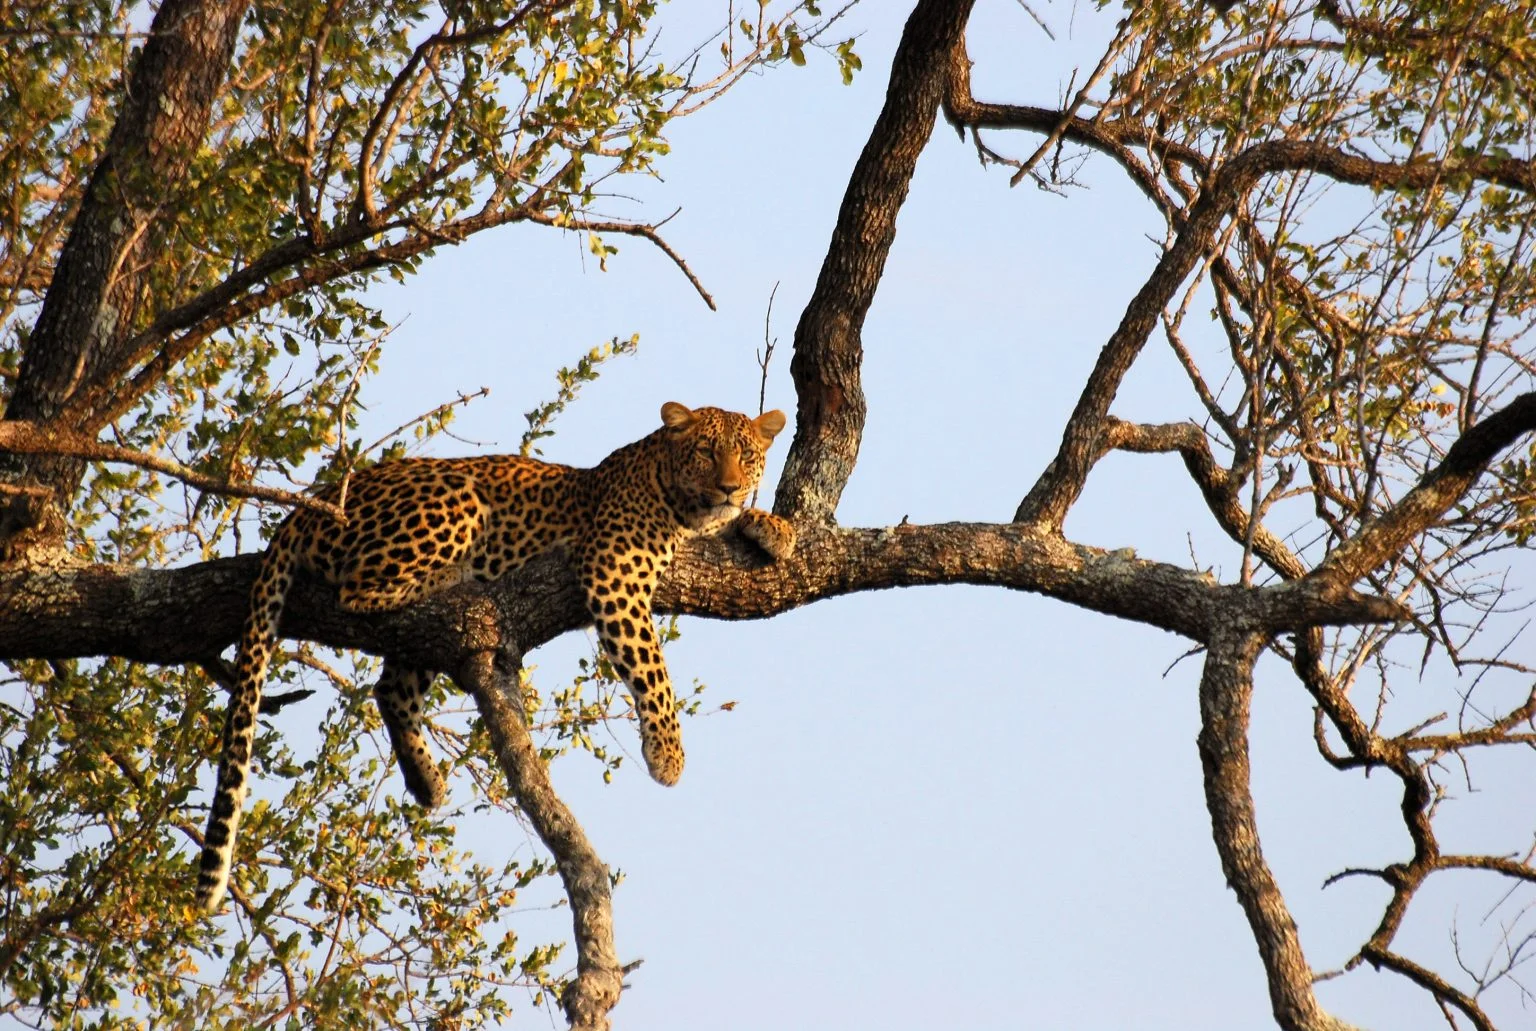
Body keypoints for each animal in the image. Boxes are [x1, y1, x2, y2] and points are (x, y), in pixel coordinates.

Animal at [196, 402, 795, 913]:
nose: (730, 486)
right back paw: (455, 577)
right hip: (456, 499)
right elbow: (654, 670)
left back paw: (426, 781)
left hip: (425, 637)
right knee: (358, 591)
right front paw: (668, 754)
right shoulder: (614, 572)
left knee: (392, 685)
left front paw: (775, 528)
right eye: (705, 451)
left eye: (746, 455)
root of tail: (312, 504)